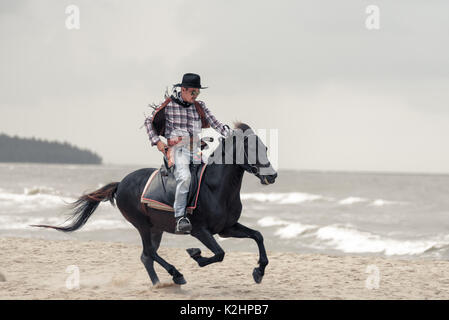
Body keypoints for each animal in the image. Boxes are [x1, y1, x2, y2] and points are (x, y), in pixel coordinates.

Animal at [34, 122, 276, 284]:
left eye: (265, 148)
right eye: (251, 149)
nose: (272, 176)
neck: (215, 188)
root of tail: (121, 183)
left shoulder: (227, 228)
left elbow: (257, 236)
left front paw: (259, 271)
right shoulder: (200, 230)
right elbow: (219, 254)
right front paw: (195, 255)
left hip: (156, 228)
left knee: (146, 256)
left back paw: (160, 283)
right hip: (141, 224)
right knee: (149, 252)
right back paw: (176, 275)